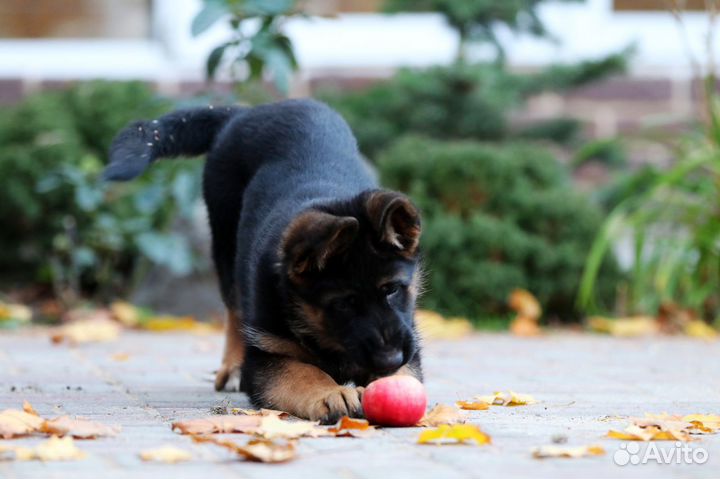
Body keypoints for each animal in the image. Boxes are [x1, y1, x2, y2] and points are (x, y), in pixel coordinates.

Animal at [104, 98, 424, 424]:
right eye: (344, 303)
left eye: (392, 290)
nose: (391, 359)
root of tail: (246, 111)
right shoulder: (265, 356)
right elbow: (301, 372)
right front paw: (331, 393)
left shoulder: (409, 340)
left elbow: (406, 371)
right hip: (226, 244)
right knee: (234, 310)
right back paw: (232, 368)